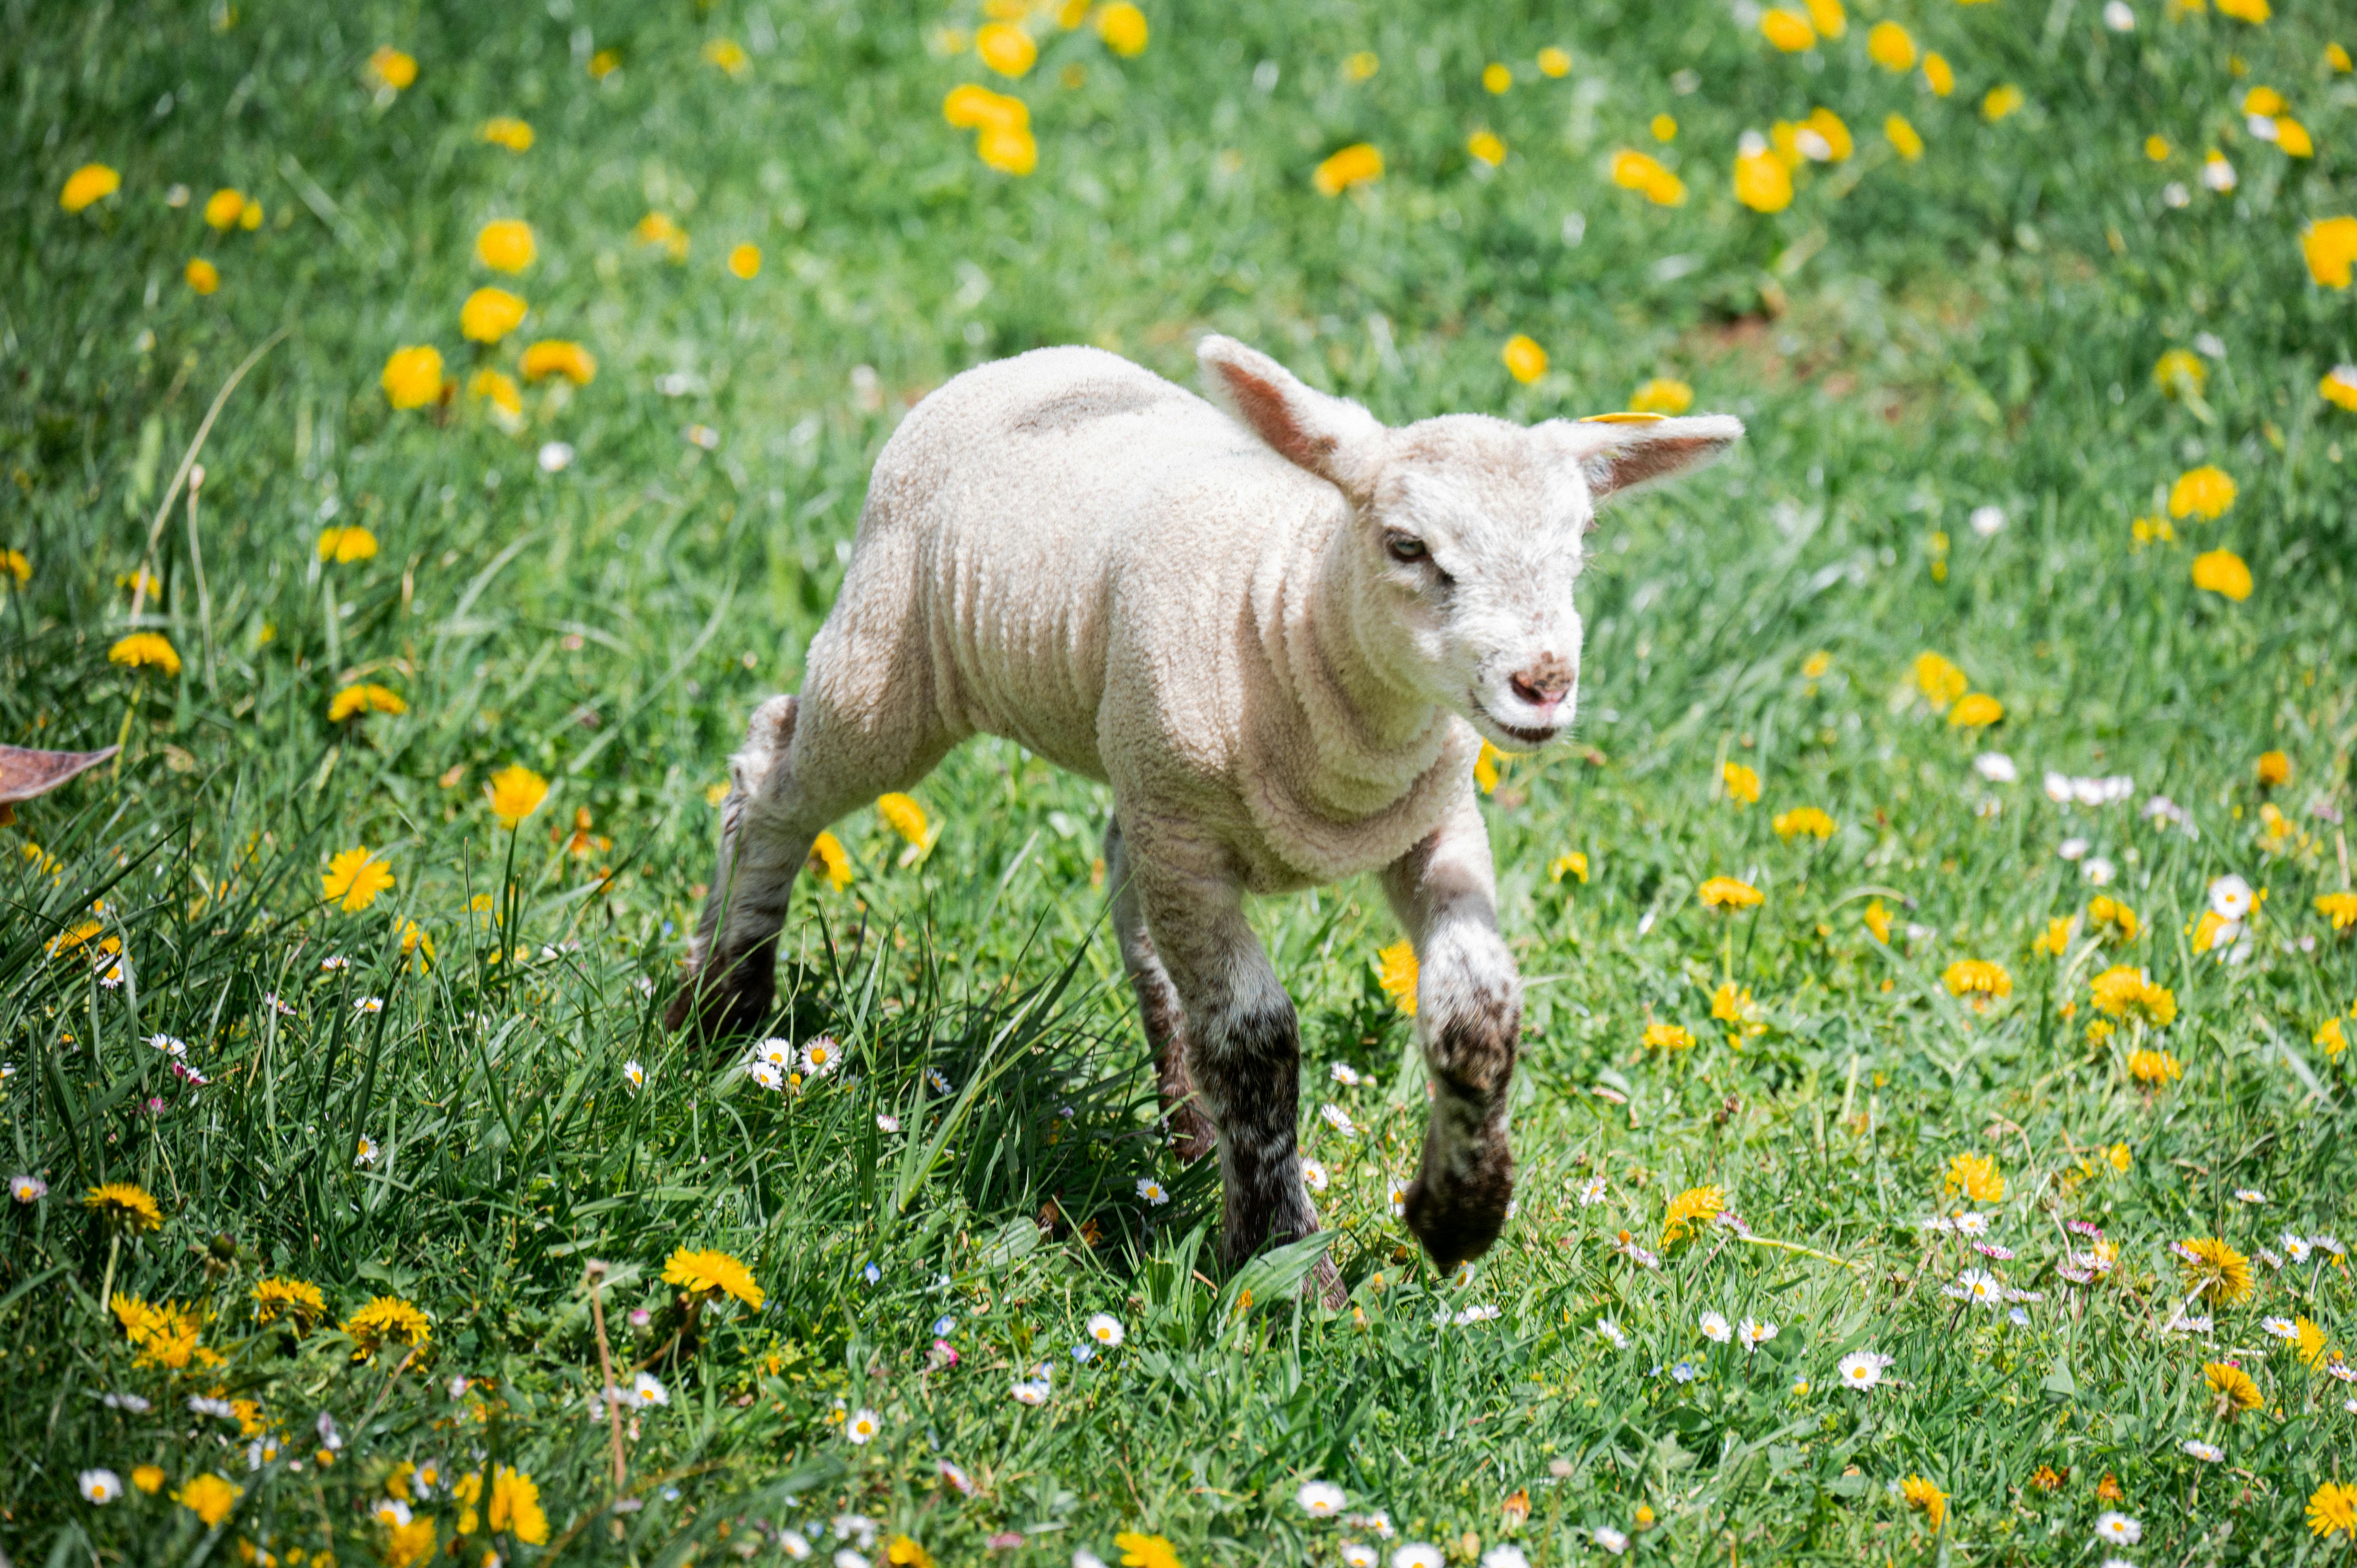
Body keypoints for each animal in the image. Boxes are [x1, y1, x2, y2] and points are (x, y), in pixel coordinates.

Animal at [670, 336, 1740, 1299]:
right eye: (1409, 546)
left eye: (1579, 549)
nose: (1544, 684)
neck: (1293, 615)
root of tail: (1024, 360)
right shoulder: (1189, 836)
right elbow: (1255, 1037)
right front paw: (1288, 1265)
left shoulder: (1433, 826)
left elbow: (1478, 1011)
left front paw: (1456, 1213)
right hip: (893, 662)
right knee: (772, 767)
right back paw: (720, 1007)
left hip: (1132, 766)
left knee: (1126, 891)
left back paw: (1186, 1129)